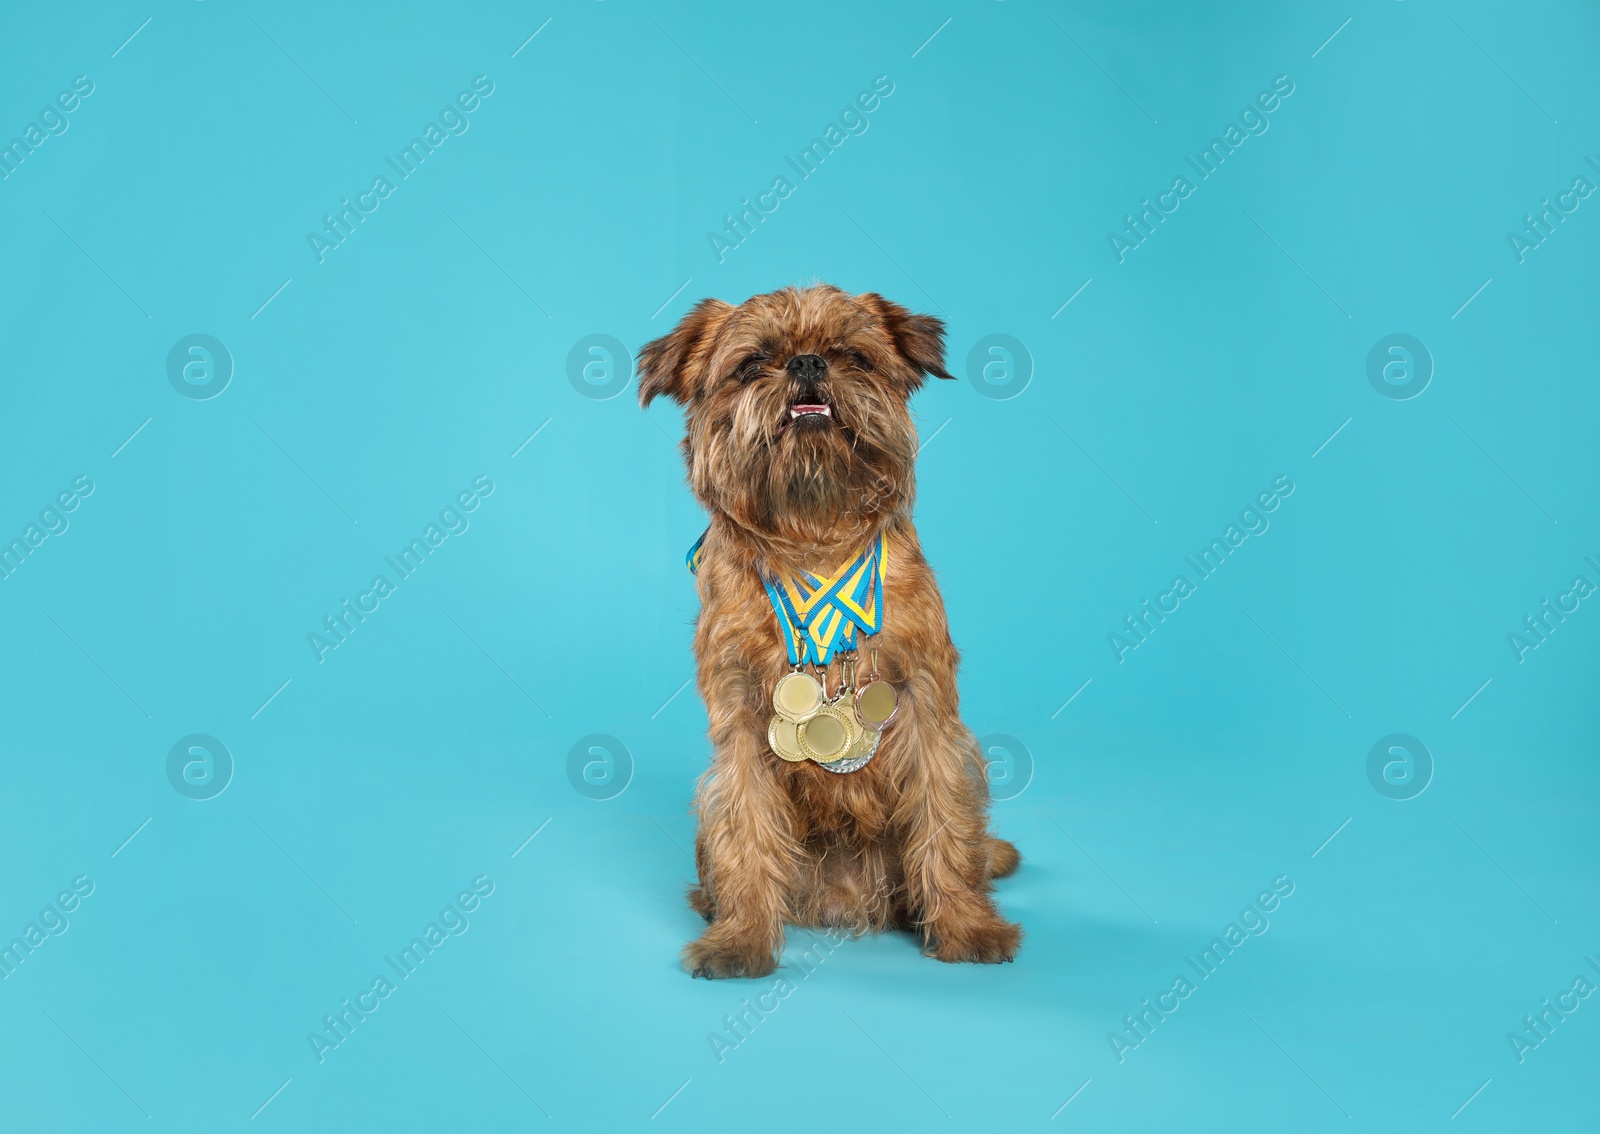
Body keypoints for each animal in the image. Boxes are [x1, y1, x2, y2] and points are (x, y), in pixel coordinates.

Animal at [633, 281, 1017, 972]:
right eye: (751, 364)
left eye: (853, 357)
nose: (808, 363)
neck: (813, 539)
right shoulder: (741, 723)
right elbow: (745, 829)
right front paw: (742, 937)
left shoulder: (927, 710)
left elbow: (945, 819)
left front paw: (968, 926)